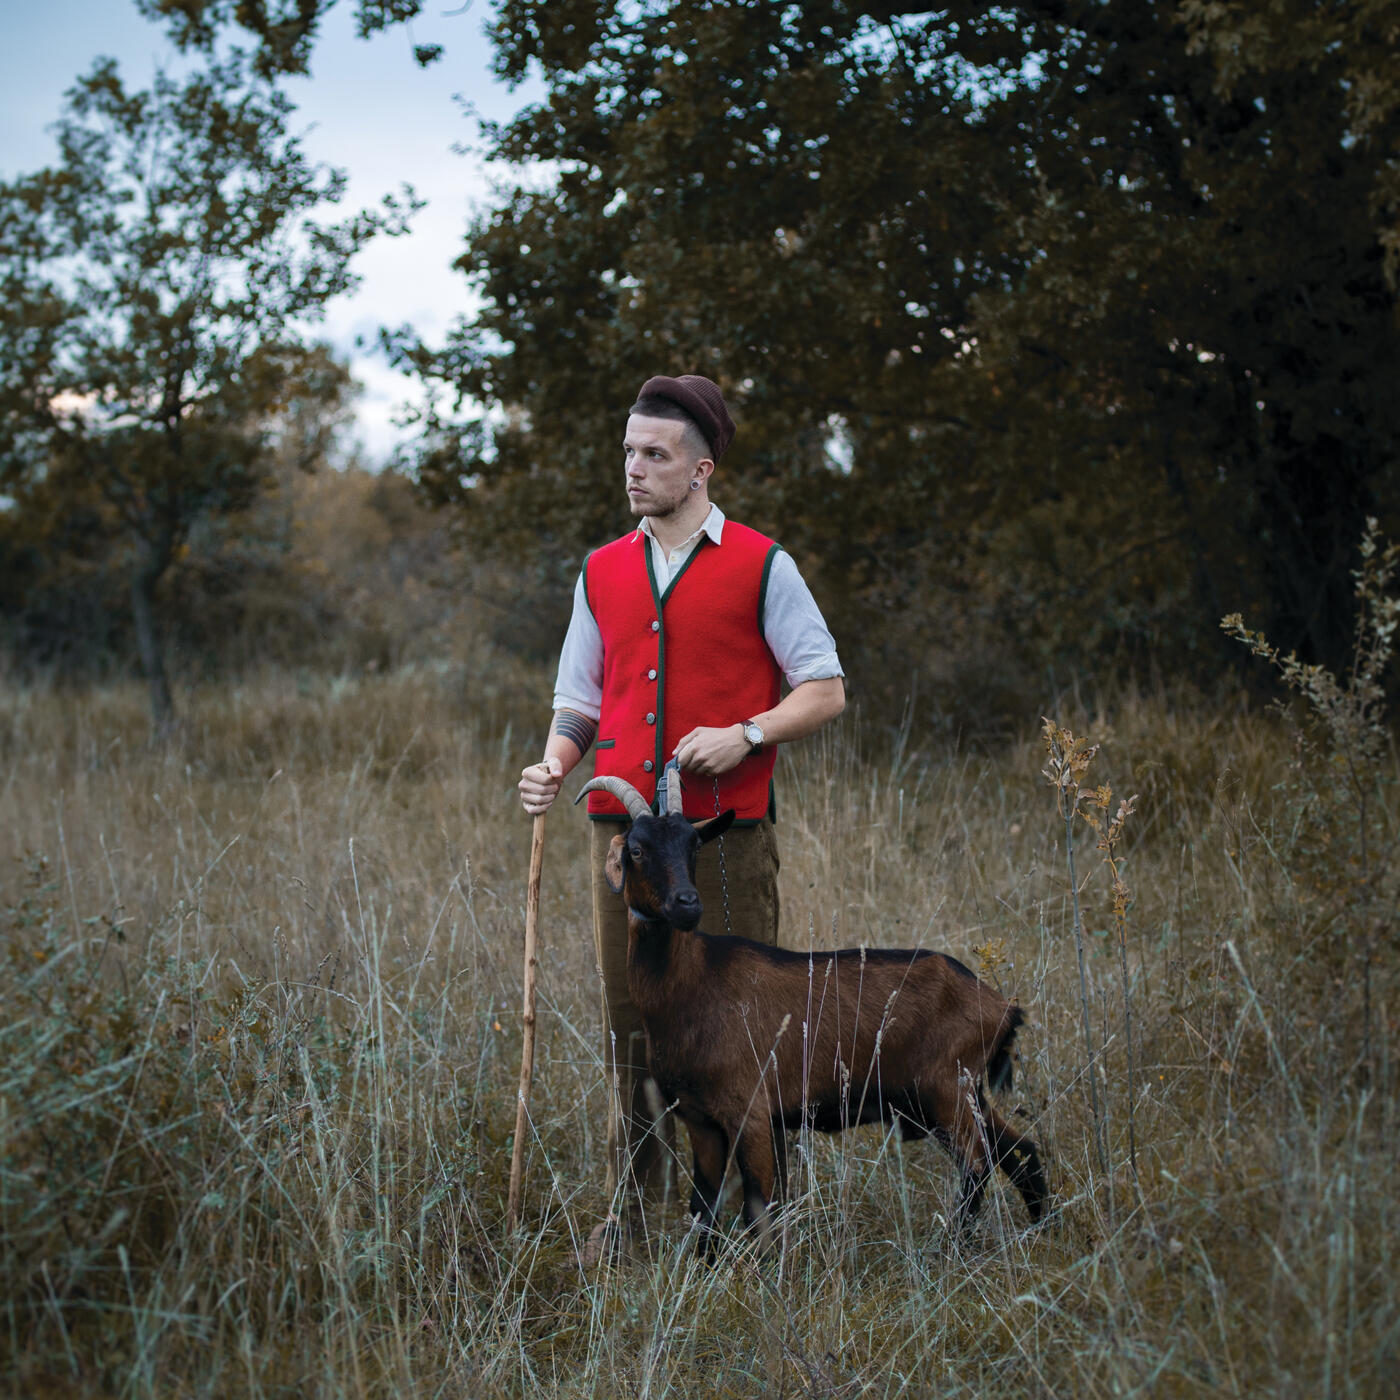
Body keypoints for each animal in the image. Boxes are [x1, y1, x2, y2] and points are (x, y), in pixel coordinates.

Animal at [576, 771, 1049, 1257]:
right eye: (636, 849)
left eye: (694, 845)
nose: (686, 904)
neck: (695, 982)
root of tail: (1003, 1007)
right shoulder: (700, 1119)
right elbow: (702, 1208)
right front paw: (705, 1266)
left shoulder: (751, 1111)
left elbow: (759, 1210)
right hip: (963, 1092)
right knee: (1020, 1151)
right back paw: (1042, 1230)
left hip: (945, 1090)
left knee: (978, 1164)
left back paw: (954, 1247)